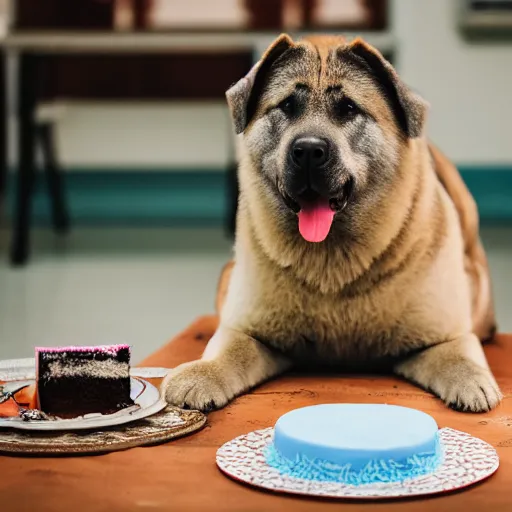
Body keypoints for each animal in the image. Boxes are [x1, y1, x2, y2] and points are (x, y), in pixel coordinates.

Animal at [162, 35, 502, 412]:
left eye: (349, 109)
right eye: (287, 106)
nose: (309, 150)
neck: (332, 266)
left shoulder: (442, 333)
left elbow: (455, 352)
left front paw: (472, 380)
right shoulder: (248, 327)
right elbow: (231, 348)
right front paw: (202, 374)